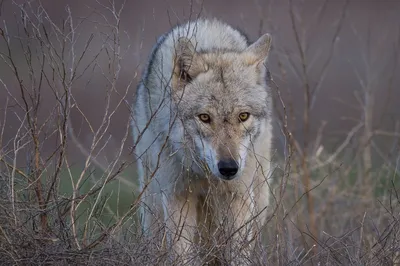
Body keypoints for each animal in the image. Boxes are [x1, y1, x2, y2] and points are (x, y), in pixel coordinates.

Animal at [133, 18, 274, 264]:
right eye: (205, 117)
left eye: (243, 116)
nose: (228, 168)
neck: (206, 175)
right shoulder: (177, 195)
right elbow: (181, 254)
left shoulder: (238, 196)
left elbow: (238, 253)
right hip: (153, 204)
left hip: (259, 199)